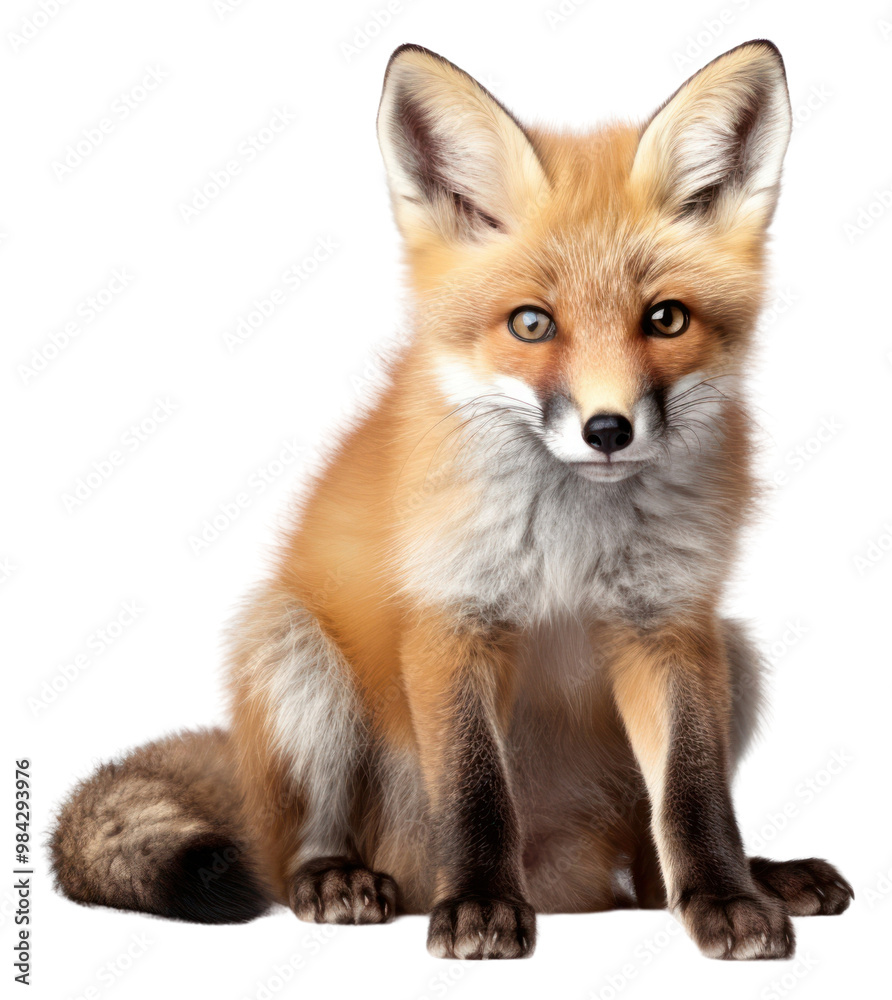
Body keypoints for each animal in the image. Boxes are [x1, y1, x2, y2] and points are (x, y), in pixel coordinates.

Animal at [51, 40, 854, 961]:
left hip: (735, 656)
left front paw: (726, 896)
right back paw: (339, 879)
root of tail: (572, 885)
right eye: (532, 324)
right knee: (290, 856)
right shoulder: (451, 619)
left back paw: (747, 880)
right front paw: (477, 904)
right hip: (293, 655)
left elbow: (694, 797)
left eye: (667, 319)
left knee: (651, 870)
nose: (608, 429)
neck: (573, 536)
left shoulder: (672, 624)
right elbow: (475, 792)